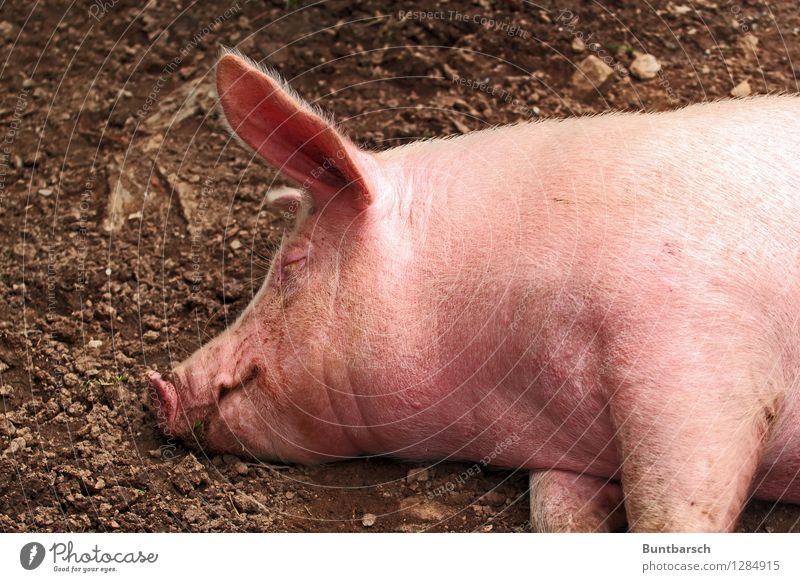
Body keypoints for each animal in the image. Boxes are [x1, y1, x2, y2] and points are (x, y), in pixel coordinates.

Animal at [148, 50, 800, 532]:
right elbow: (558, 517)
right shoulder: (576, 449)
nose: (161, 386)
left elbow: (674, 510)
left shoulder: (697, 354)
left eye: (291, 262)